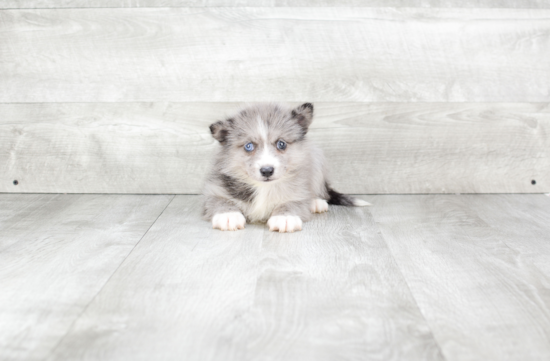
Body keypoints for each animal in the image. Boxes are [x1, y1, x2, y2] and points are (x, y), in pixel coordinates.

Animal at [205, 101, 374, 232]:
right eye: (248, 146)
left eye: (281, 144)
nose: (267, 171)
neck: (264, 188)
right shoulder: (214, 191)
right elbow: (221, 201)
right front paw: (228, 215)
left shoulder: (298, 191)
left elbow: (292, 202)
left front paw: (285, 217)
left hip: (317, 160)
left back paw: (316, 202)